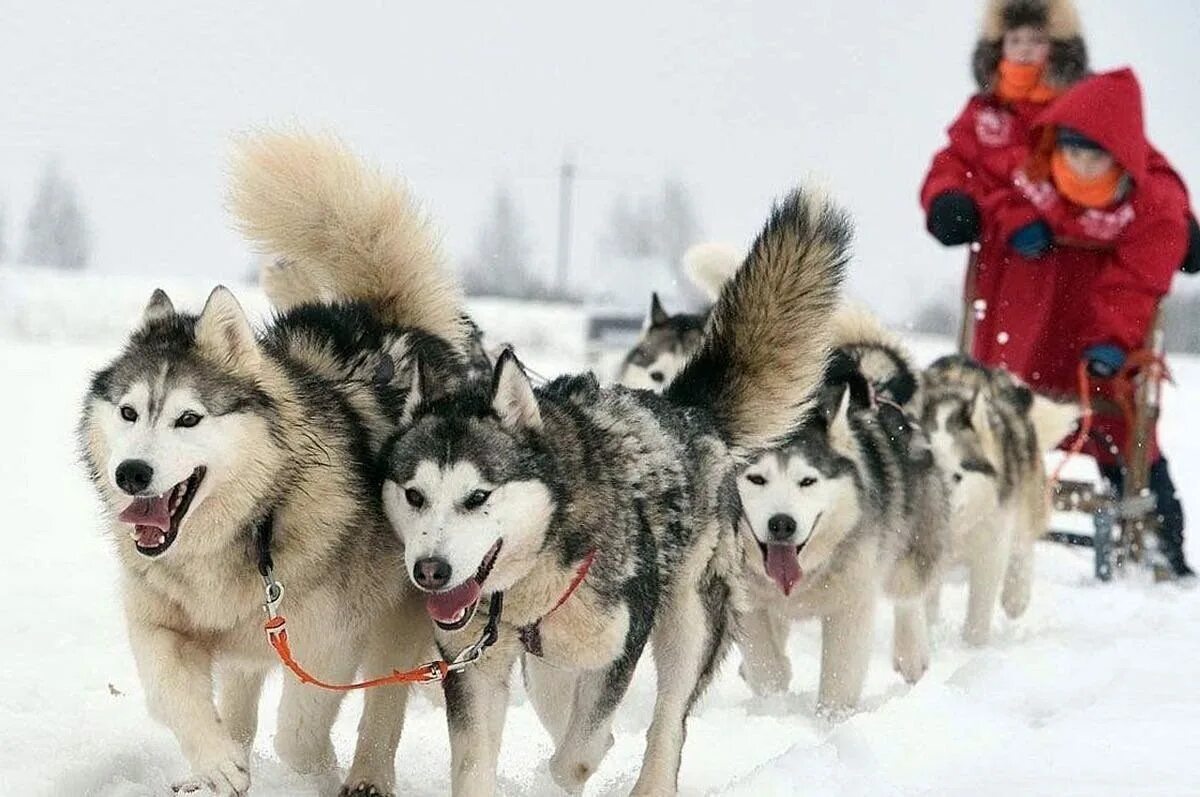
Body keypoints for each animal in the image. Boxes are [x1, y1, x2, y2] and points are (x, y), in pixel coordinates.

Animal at [77, 132, 470, 797]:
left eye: (188, 419)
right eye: (129, 412)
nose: (132, 473)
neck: (251, 523)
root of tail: (387, 319)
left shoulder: (329, 640)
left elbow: (301, 733)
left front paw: (315, 772)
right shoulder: (159, 623)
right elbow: (173, 693)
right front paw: (218, 764)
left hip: (401, 614)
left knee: (382, 707)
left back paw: (366, 775)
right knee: (240, 693)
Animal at [734, 307, 950, 710]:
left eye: (807, 481)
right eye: (756, 479)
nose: (782, 524)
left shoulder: (852, 602)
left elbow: (840, 677)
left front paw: (830, 719)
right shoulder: (744, 598)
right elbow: (764, 659)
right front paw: (773, 695)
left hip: (913, 536)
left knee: (908, 592)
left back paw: (911, 652)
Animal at [916, 357, 1080, 643]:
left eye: (957, 475)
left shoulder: (990, 550)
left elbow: (978, 614)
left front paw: (972, 647)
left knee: (1023, 547)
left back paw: (1016, 597)